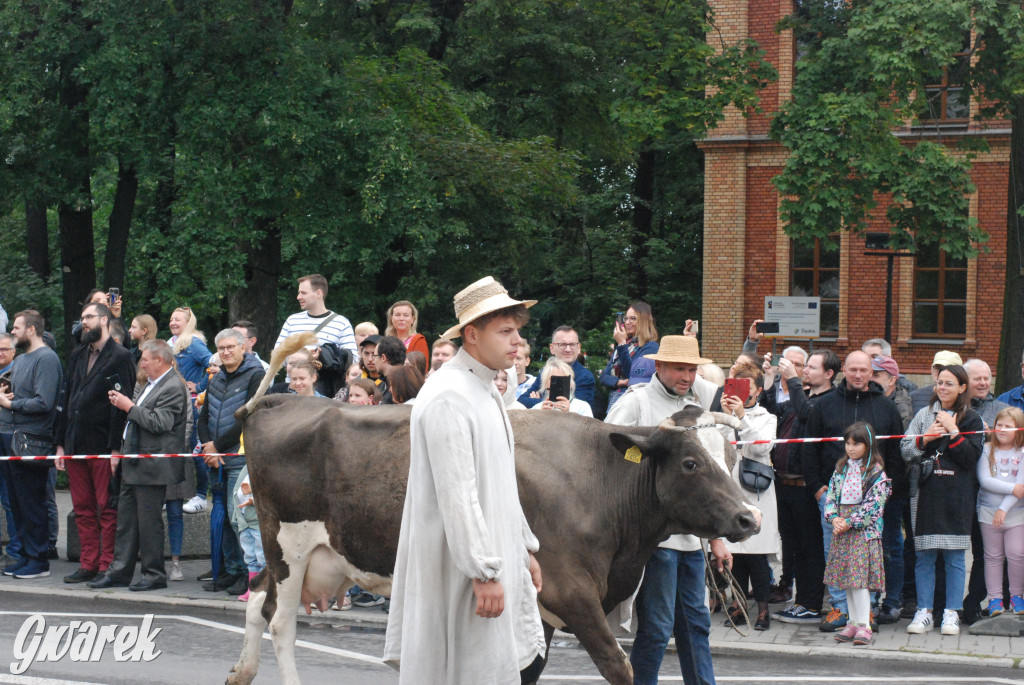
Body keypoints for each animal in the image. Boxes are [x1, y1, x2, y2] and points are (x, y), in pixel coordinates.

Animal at [224, 389, 753, 683]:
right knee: (279, 622)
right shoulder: (571, 592)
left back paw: (240, 672)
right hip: (288, 546)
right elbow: (617, 667)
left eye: (731, 458)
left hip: (298, 554)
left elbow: (529, 670)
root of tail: (282, 398)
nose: (750, 519)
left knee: (257, 599)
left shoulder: (540, 604)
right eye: (691, 463)